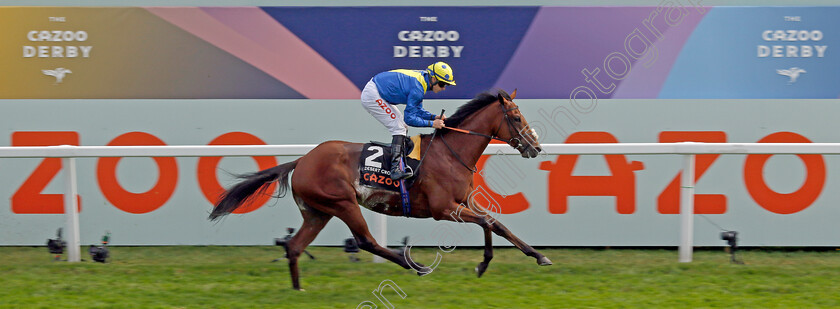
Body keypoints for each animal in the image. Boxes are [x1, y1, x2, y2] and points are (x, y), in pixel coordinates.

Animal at [209, 88, 552, 288]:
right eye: (516, 116)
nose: (535, 147)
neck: (451, 152)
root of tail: (302, 160)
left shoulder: (464, 200)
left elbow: (495, 223)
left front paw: (532, 256)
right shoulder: (443, 208)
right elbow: (486, 222)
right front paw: (487, 263)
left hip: (318, 212)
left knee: (294, 246)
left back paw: (298, 290)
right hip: (342, 203)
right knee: (366, 241)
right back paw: (416, 265)